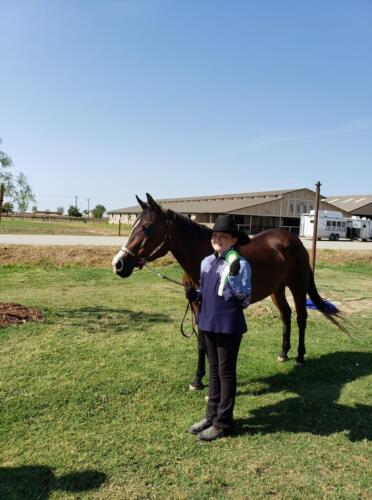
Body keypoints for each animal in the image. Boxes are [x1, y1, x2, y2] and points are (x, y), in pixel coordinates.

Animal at [112, 193, 342, 384]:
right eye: (133, 224)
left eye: (147, 227)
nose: (119, 264)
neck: (206, 259)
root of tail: (295, 241)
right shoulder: (197, 305)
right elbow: (202, 342)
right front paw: (198, 379)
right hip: (277, 289)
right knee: (286, 315)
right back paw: (283, 353)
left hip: (297, 286)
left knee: (301, 317)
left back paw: (300, 357)